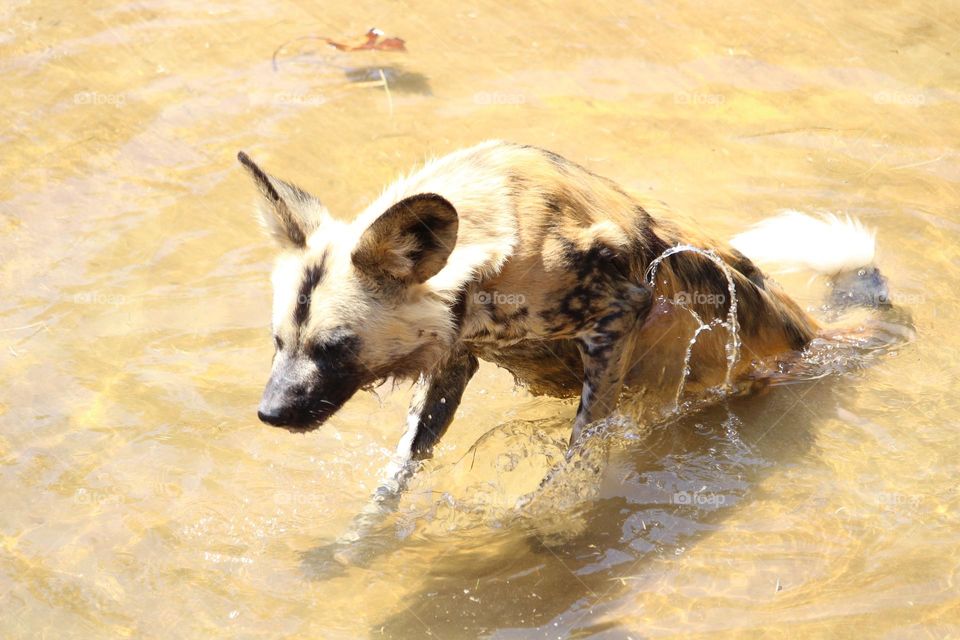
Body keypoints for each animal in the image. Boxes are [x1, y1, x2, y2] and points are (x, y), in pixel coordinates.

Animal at [238, 141, 884, 528]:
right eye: (278, 342)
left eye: (335, 346)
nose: (268, 414)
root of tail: (813, 334)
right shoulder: (454, 360)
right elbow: (396, 473)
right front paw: (358, 545)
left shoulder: (618, 317)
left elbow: (578, 453)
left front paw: (546, 519)